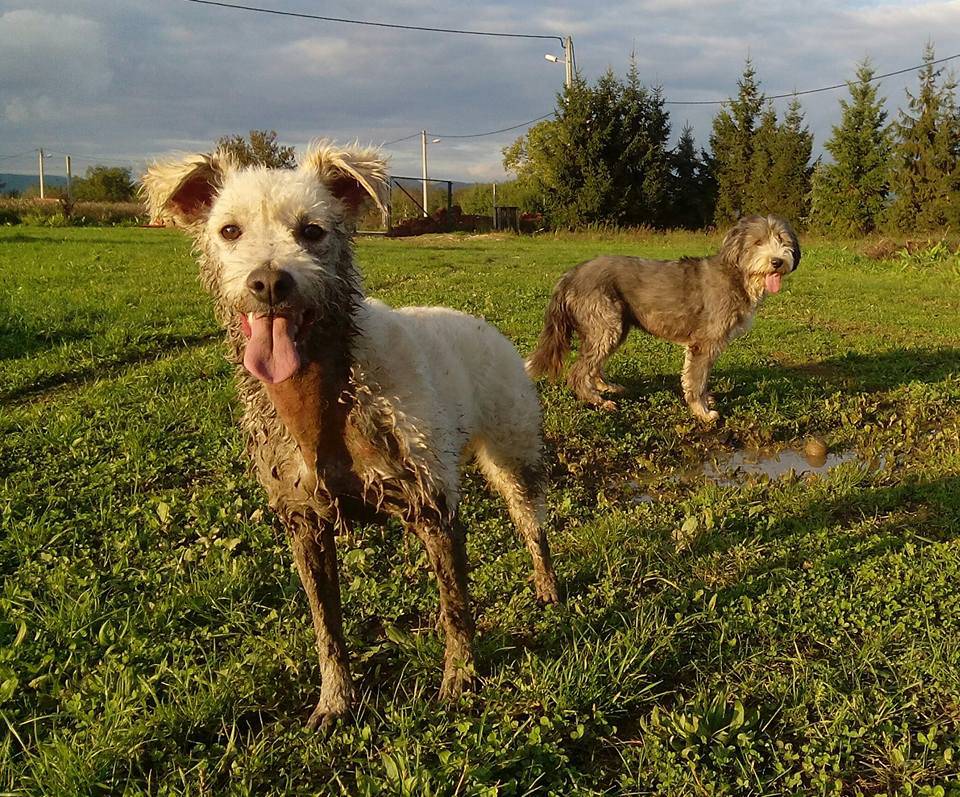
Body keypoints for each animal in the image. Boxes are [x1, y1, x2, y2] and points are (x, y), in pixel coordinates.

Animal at [528, 215, 800, 420]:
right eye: (758, 242)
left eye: (782, 240)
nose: (777, 261)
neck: (737, 275)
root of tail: (571, 274)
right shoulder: (705, 342)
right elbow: (697, 379)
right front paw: (703, 412)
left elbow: (698, 377)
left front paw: (705, 401)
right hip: (606, 325)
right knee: (578, 371)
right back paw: (598, 401)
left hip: (613, 326)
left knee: (591, 363)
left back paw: (606, 386)